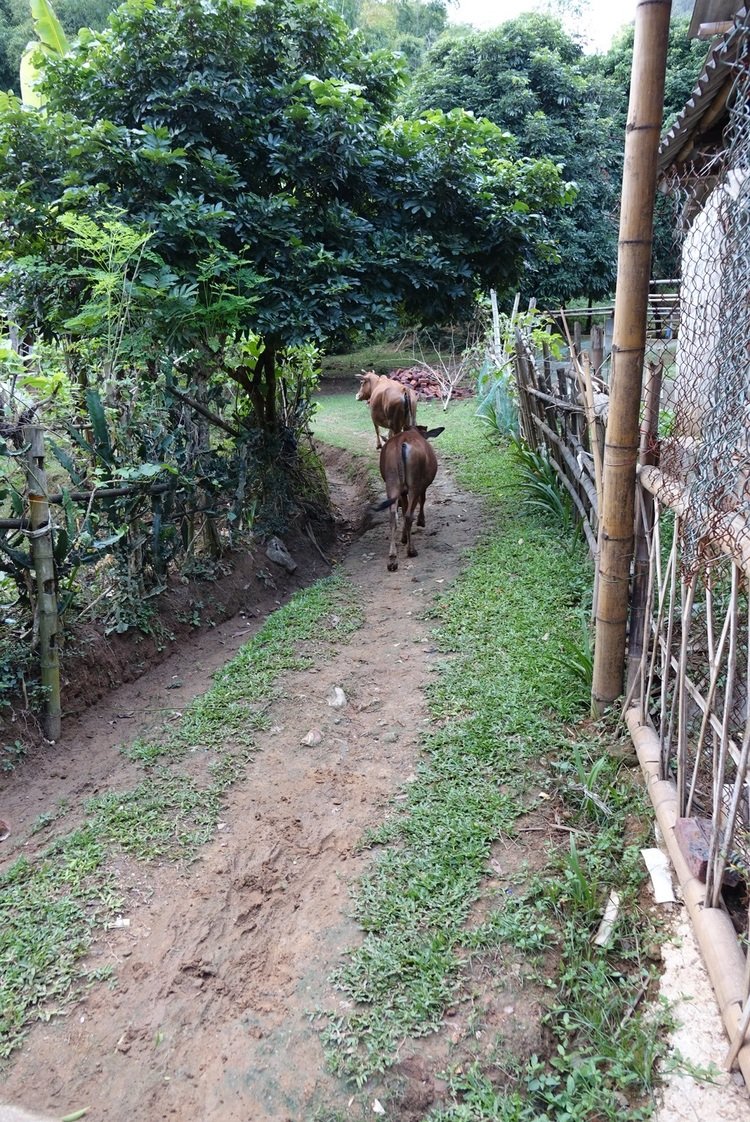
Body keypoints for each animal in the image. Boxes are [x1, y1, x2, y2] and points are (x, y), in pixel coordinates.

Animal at [377, 426, 442, 574]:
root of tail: (401, 441)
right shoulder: (423, 485)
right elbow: (422, 500)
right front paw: (421, 521)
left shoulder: (402, 492)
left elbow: (403, 507)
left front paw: (403, 537)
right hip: (415, 483)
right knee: (408, 515)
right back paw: (411, 550)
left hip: (392, 481)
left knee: (393, 517)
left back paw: (392, 559)